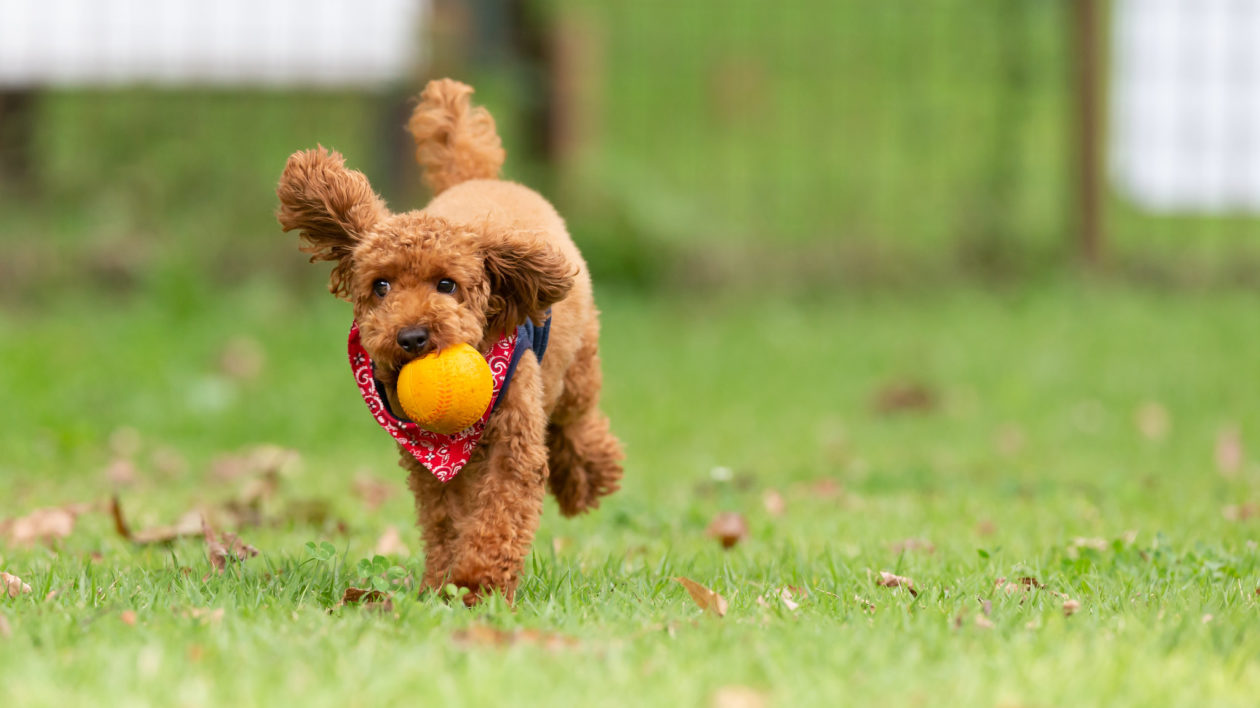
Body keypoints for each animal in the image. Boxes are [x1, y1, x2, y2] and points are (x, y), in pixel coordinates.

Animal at [279, 79, 624, 604]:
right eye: (381, 286)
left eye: (447, 285)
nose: (412, 336)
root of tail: (479, 178)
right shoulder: (429, 463)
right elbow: (445, 518)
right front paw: (443, 582)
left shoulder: (513, 441)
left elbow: (501, 508)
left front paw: (476, 583)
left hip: (576, 368)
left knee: (575, 418)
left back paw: (588, 475)